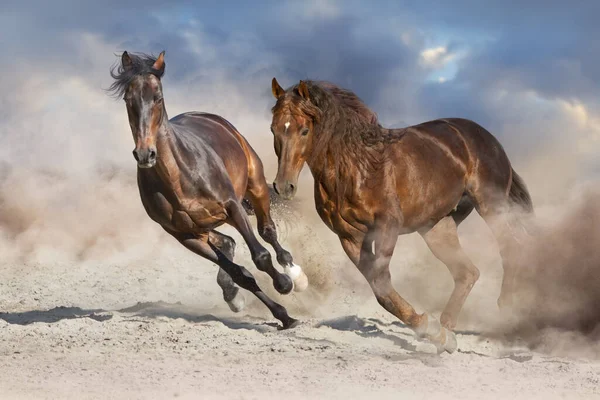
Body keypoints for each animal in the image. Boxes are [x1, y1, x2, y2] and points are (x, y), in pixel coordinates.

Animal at [106, 50, 310, 332]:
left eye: (157, 97)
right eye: (128, 99)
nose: (145, 154)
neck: (178, 178)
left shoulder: (232, 206)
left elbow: (260, 256)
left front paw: (285, 284)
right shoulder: (184, 236)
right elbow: (241, 273)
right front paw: (283, 315)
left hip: (254, 186)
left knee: (267, 232)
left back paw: (295, 274)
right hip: (206, 226)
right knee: (229, 242)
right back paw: (233, 295)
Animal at [270, 79, 532, 354]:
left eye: (304, 130)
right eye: (273, 129)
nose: (283, 186)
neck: (355, 168)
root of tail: (488, 138)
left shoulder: (387, 226)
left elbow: (382, 281)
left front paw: (427, 327)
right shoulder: (349, 237)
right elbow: (380, 290)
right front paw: (436, 334)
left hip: (492, 206)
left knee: (511, 247)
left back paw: (508, 313)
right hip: (438, 227)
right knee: (467, 272)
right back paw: (447, 332)